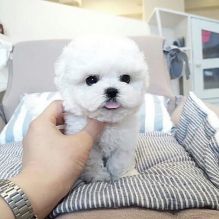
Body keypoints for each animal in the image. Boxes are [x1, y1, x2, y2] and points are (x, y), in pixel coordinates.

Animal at [54, 36, 149, 182]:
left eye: (126, 78)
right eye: (91, 79)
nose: (112, 91)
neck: (108, 122)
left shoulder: (124, 142)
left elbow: (120, 161)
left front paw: (124, 175)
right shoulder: (88, 144)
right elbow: (93, 162)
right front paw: (98, 177)